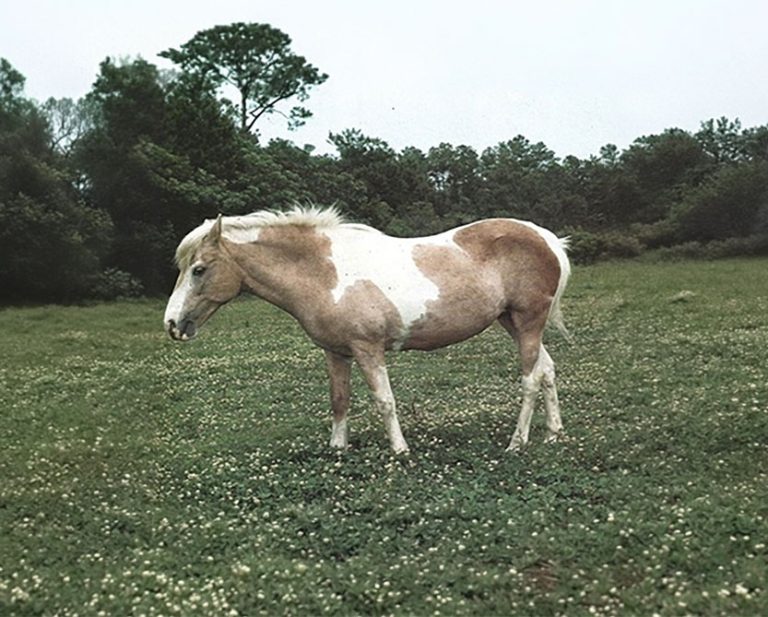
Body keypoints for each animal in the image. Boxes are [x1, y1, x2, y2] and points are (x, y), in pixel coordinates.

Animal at [164, 206, 571, 453]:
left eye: (199, 269)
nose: (172, 324)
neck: (325, 273)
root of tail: (546, 238)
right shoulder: (335, 351)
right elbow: (339, 400)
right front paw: (338, 448)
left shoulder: (367, 349)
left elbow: (384, 400)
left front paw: (400, 450)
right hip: (513, 322)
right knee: (548, 371)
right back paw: (553, 434)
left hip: (528, 322)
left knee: (531, 379)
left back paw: (517, 442)